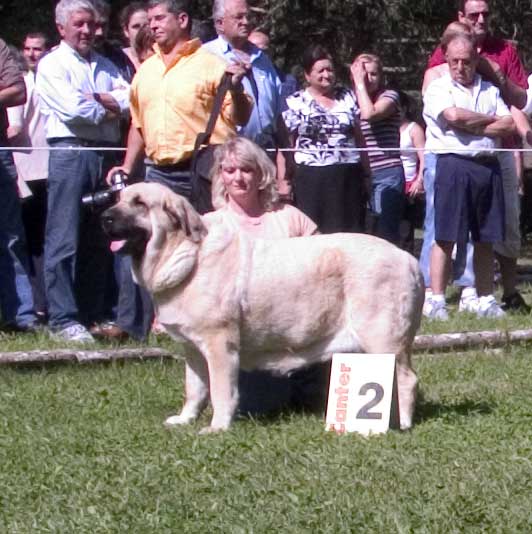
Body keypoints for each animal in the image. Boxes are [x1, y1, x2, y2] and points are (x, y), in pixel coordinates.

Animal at [103, 184, 424, 436]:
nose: (105, 217)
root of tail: (407, 257)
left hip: (382, 338)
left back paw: (404, 424)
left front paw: (217, 427)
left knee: (408, 380)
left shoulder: (219, 344)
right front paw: (185, 419)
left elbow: (220, 391)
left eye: (140, 203)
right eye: (118, 198)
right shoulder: (192, 349)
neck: (186, 254)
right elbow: (194, 388)